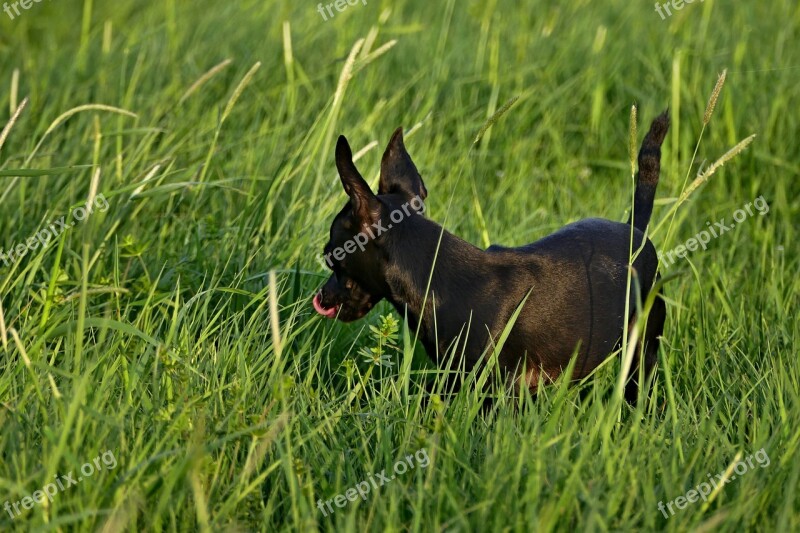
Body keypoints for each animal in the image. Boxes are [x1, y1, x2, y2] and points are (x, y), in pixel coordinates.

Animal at [312, 113, 668, 404]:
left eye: (331, 259)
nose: (321, 296)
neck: (436, 279)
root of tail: (636, 230)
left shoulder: (494, 391)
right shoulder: (455, 380)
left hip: (642, 348)